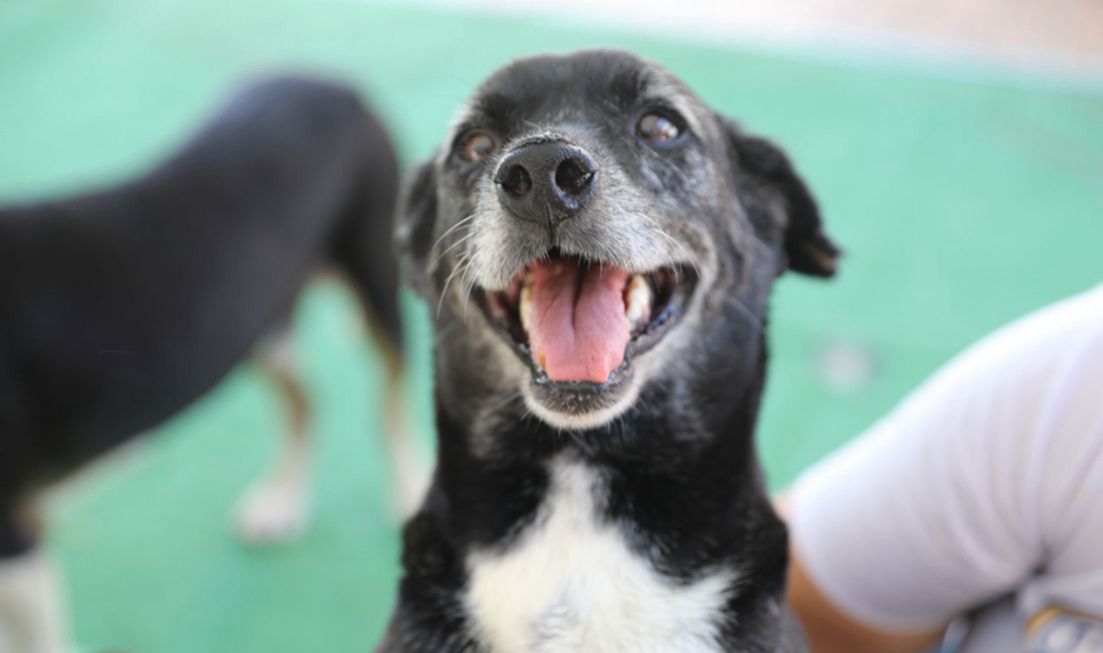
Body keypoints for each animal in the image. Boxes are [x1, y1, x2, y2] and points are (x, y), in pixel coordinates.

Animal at [0, 75, 410, 648]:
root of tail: (330, 79)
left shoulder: (11, 538)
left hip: (375, 276)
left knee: (392, 393)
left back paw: (409, 490)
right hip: (255, 324)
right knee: (306, 400)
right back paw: (282, 501)